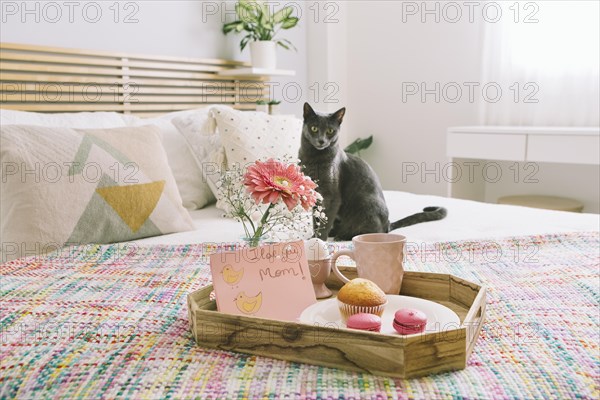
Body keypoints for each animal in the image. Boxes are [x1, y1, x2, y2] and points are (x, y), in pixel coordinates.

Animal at [298, 103, 446, 241]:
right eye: (314, 128)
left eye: (330, 131)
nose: (321, 140)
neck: (313, 158)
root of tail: (388, 224)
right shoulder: (314, 194)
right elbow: (316, 219)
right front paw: (314, 236)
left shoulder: (332, 196)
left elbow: (325, 219)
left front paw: (319, 240)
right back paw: (335, 232)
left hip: (365, 205)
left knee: (372, 232)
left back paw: (343, 236)